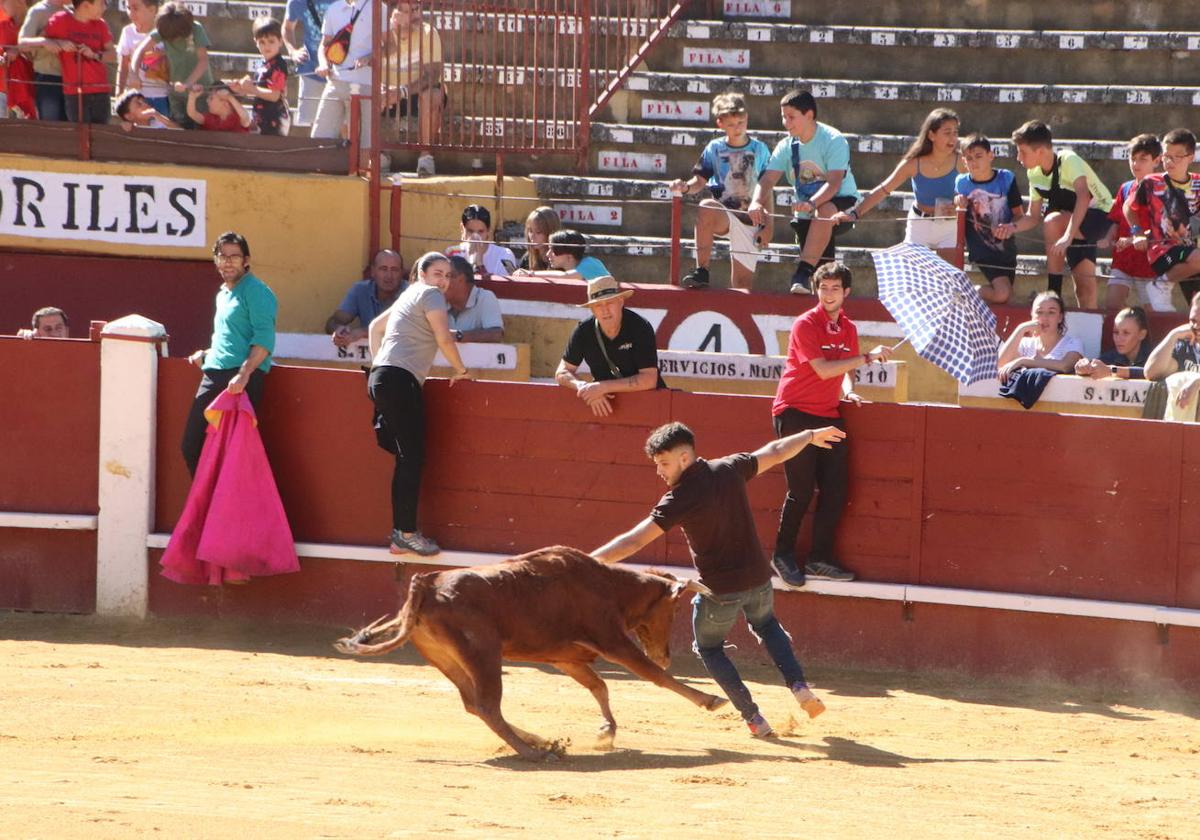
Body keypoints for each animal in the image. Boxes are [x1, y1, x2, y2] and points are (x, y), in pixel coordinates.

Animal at [338, 544, 729, 763]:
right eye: (674, 610)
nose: (665, 653)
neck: (606, 584)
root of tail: (427, 585)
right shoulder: (613, 642)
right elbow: (654, 676)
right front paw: (711, 699)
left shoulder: (565, 658)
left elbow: (598, 686)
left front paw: (607, 731)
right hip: (483, 655)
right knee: (487, 706)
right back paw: (535, 752)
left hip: (447, 660)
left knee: (473, 704)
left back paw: (540, 741)